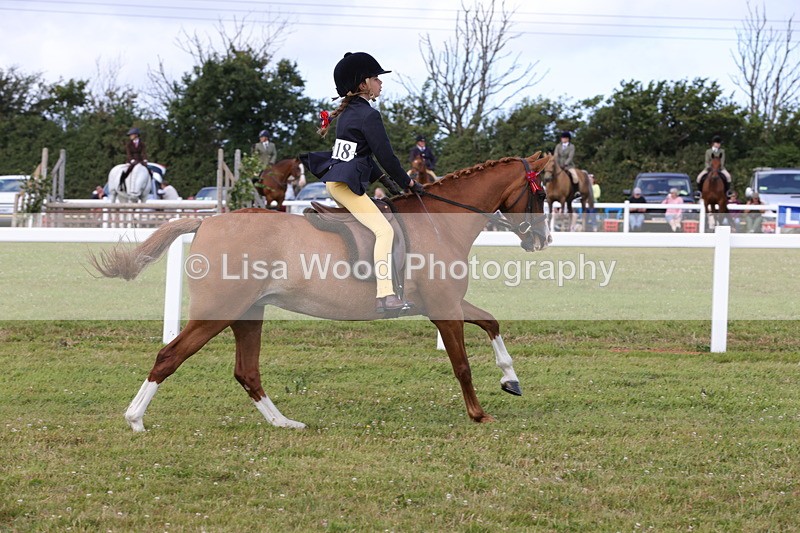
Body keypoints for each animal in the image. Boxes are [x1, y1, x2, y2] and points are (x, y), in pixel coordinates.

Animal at [90, 153, 551, 432]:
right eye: (540, 192)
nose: (542, 240)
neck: (440, 221)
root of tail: (208, 221)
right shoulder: (443, 308)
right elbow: (462, 365)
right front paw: (479, 414)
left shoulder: (448, 303)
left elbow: (490, 322)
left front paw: (511, 379)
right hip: (217, 313)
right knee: (170, 356)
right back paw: (135, 419)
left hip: (248, 313)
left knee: (246, 371)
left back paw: (284, 423)